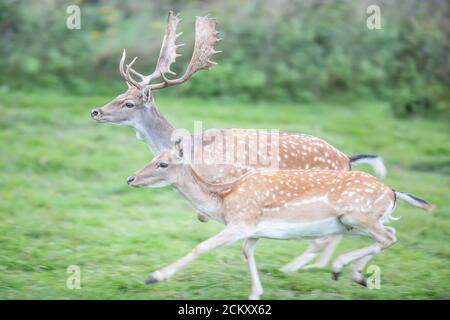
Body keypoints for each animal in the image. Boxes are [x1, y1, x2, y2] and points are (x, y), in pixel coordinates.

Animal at [90, 12, 386, 272]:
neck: (193, 149)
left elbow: (207, 214)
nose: (95, 111)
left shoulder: (227, 177)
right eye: (118, 94)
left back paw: (296, 267)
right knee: (338, 232)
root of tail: (347, 159)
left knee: (332, 234)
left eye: (128, 103)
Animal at [126, 140, 432, 300]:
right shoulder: (253, 230)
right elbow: (247, 252)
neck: (223, 201)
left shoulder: (241, 221)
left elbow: (201, 247)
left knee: (387, 236)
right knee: (389, 232)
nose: (130, 178)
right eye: (154, 156)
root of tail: (393, 192)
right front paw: (255, 294)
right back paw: (355, 275)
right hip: (352, 223)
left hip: (357, 215)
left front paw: (154, 276)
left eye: (163, 163)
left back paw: (340, 269)